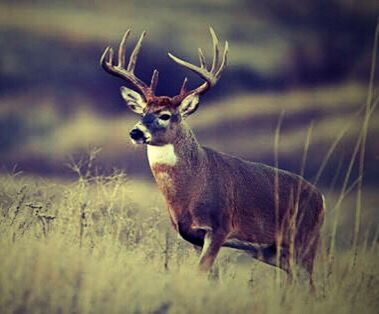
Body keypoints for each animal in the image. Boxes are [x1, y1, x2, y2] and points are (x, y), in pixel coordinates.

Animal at [101, 28, 326, 286]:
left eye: (165, 115)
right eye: (142, 112)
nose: (136, 132)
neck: (192, 187)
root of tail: (321, 199)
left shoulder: (220, 227)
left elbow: (201, 273)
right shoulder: (191, 236)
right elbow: (209, 276)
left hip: (304, 239)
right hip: (272, 250)